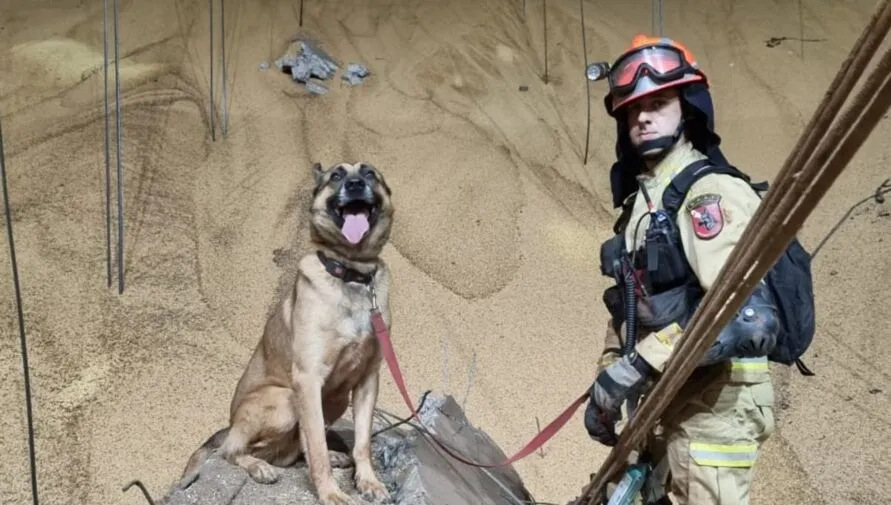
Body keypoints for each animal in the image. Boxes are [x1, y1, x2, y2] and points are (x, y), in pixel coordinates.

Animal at [178, 161, 394, 504]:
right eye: (336, 175)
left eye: (370, 173)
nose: (355, 184)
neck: (351, 274)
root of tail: (231, 423)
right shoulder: (308, 379)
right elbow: (316, 445)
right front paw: (330, 493)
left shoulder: (366, 381)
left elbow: (361, 443)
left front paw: (368, 481)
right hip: (285, 400)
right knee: (232, 450)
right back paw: (258, 466)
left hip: (332, 400)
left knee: (294, 447)